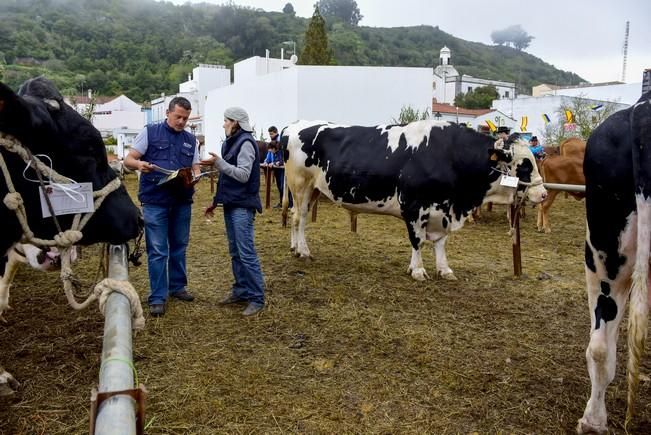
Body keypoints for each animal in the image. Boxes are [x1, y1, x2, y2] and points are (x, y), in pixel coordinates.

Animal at [282, 121, 548, 282]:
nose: (543, 193)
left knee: (295, 216)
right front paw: (418, 270)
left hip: (313, 190)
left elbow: (441, 242)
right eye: (524, 165)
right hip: (301, 185)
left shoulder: (442, 211)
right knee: (300, 218)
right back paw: (303, 251)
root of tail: (294, 125)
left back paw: (295, 248)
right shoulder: (413, 206)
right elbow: (417, 240)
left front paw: (444, 269)